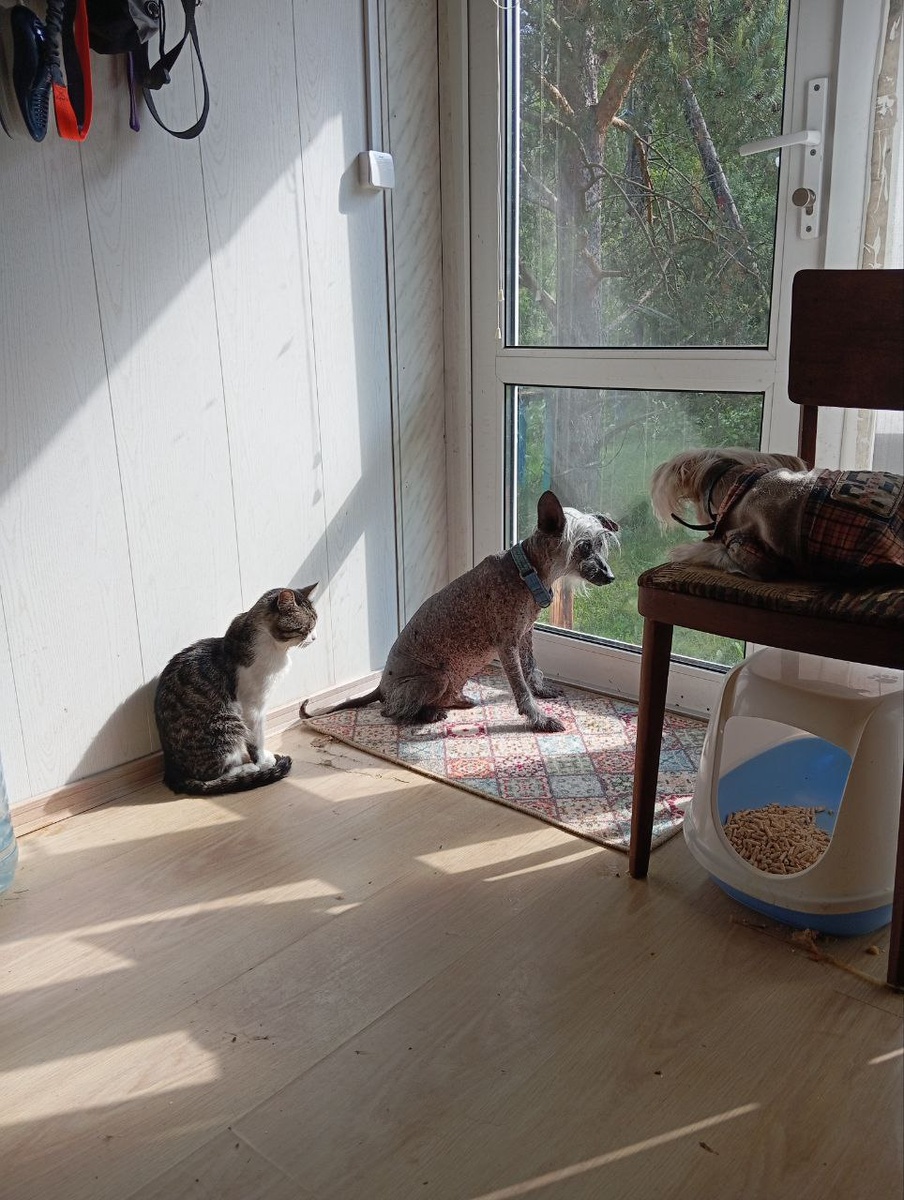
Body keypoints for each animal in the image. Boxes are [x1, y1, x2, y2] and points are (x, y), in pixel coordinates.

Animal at [154, 585, 318, 795]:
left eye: (315, 623)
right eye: (306, 628)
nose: (315, 637)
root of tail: (172, 770)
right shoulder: (252, 706)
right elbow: (256, 738)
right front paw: (263, 761)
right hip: (228, 722)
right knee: (212, 776)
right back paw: (247, 769)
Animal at [301, 491, 619, 733]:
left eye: (600, 545)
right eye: (584, 547)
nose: (611, 576)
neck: (525, 570)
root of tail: (380, 686)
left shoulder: (526, 636)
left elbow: (532, 669)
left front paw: (542, 690)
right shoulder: (508, 646)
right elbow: (521, 689)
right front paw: (539, 719)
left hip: (453, 677)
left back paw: (456, 701)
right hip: (436, 678)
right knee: (389, 711)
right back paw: (425, 714)